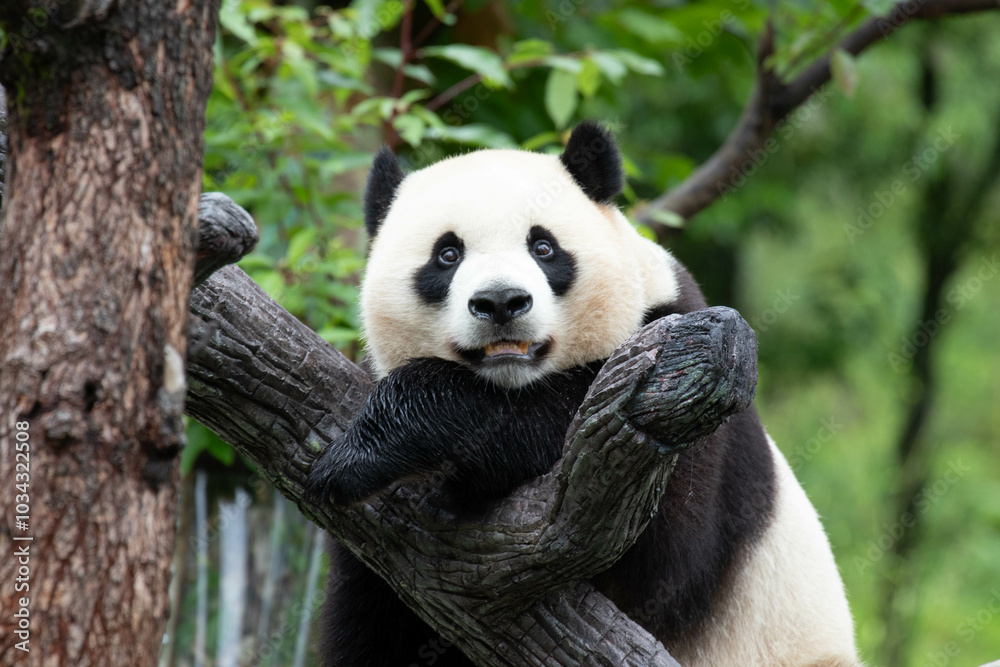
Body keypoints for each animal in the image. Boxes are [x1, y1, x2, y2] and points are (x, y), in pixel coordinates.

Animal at [305, 122, 860, 667]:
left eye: (543, 247)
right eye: (447, 254)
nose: (501, 301)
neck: (514, 380)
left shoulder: (682, 361)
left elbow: (662, 560)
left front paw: (365, 452)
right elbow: (372, 626)